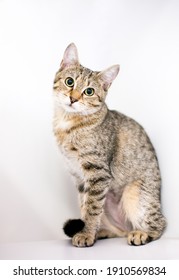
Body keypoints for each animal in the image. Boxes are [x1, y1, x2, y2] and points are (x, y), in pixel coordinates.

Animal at [52, 43, 166, 247]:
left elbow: (91, 208)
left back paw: (141, 234)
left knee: (160, 223)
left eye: (89, 91)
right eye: (69, 81)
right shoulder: (79, 178)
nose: (73, 98)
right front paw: (86, 232)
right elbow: (85, 206)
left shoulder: (98, 172)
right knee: (117, 230)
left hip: (133, 193)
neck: (68, 123)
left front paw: (86, 234)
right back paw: (103, 232)